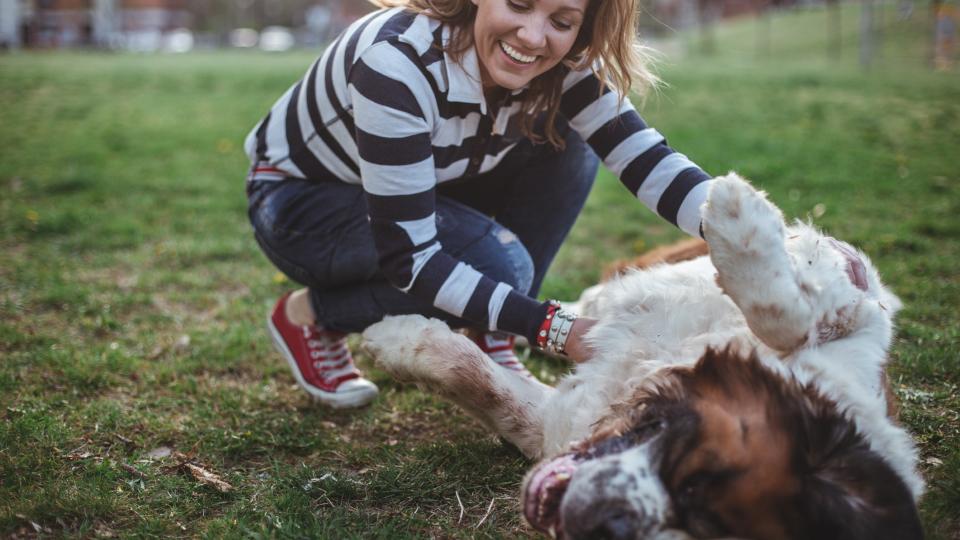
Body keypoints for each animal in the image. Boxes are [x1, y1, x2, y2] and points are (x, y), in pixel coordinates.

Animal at [360, 175, 924, 536]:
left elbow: (484, 384)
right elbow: (787, 312)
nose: (604, 527)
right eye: (695, 475)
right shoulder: (850, 294)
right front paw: (738, 211)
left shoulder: (557, 423)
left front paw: (397, 340)